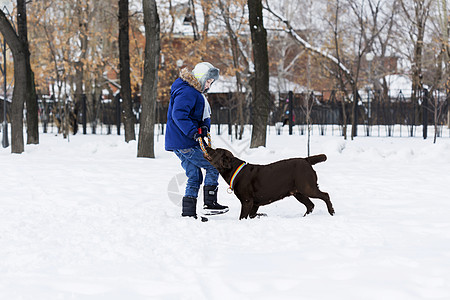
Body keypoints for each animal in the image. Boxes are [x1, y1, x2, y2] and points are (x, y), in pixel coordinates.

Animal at [204, 146, 334, 219]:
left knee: (325, 195)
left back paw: (331, 211)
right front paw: (262, 215)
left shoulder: (247, 201)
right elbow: (252, 215)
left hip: (306, 187)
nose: (206, 146)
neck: (235, 170)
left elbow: (242, 217)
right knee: (310, 205)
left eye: (216, 150)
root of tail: (306, 160)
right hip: (298, 192)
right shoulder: (255, 203)